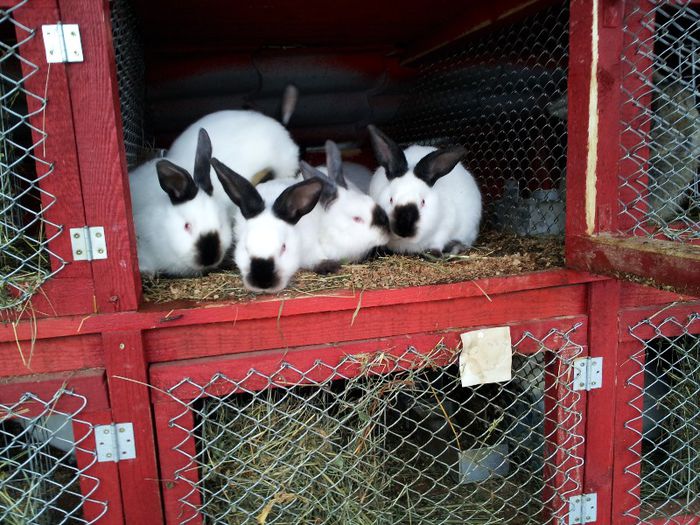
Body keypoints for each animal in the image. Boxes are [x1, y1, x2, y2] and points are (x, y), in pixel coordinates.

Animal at [366, 124, 482, 253]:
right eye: (390, 199)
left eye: (423, 202)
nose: (403, 229)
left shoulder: (445, 227)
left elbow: (438, 242)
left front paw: (435, 253)